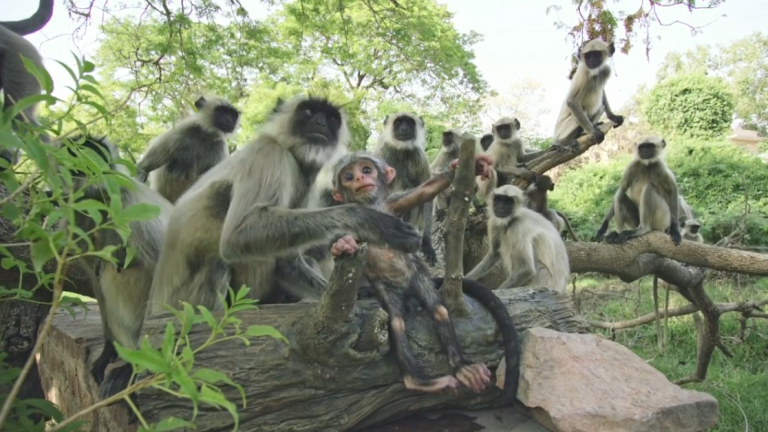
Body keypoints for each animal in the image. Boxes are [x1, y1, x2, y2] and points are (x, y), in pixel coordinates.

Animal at [56, 134, 172, 422]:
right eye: (75, 158)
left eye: (95, 154)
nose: (91, 169)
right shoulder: (77, 220)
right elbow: (95, 279)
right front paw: (109, 350)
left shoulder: (132, 201)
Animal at [147, 95, 422, 316]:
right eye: (309, 112)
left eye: (330, 118)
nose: (320, 124)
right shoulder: (269, 154)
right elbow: (239, 234)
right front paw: (368, 220)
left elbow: (287, 259)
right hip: (182, 302)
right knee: (218, 260)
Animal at [327, 152, 520, 398]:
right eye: (349, 176)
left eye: (367, 170)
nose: (360, 178)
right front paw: (342, 245)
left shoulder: (393, 203)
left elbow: (423, 192)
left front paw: (466, 167)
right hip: (389, 289)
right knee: (396, 322)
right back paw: (417, 381)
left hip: (417, 278)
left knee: (438, 309)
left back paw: (461, 367)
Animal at [373, 112, 437, 266]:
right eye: (399, 122)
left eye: (409, 122)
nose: (404, 128)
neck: (400, 149)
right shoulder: (382, 152)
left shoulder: (419, 155)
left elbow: (429, 191)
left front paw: (427, 244)